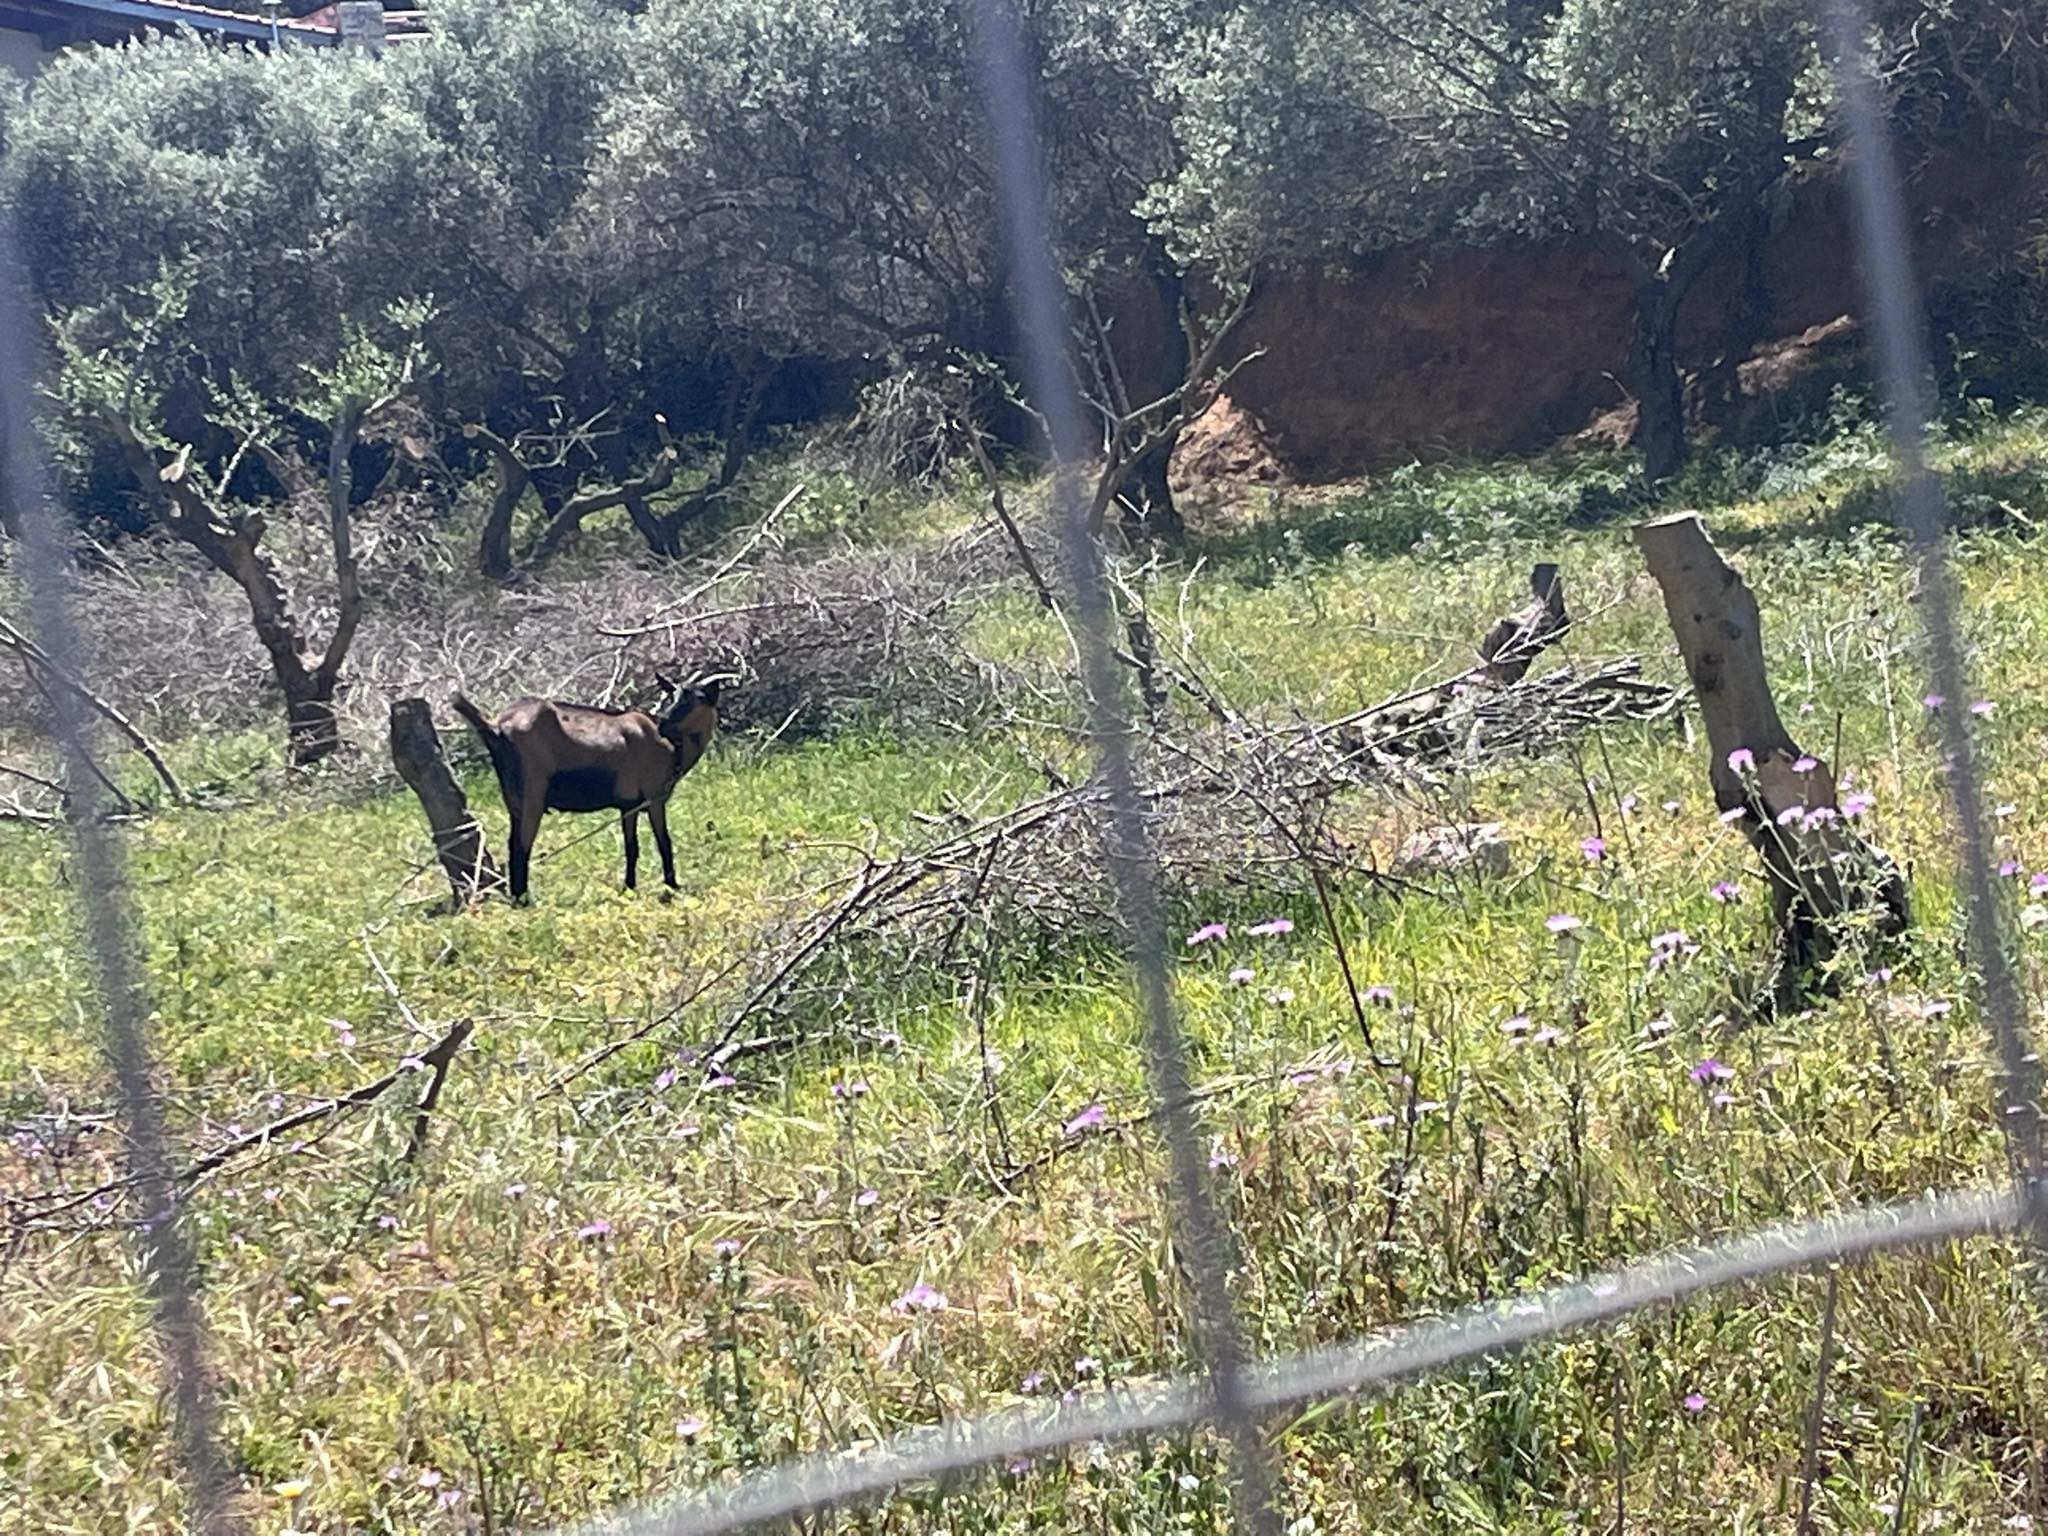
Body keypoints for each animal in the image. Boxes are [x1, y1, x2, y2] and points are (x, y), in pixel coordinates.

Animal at [452, 675, 724, 901]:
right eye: (673, 696)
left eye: (697, 698)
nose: (665, 724)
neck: (673, 750)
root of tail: (497, 728)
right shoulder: (653, 797)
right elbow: (664, 843)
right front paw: (672, 886)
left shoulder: (629, 804)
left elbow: (632, 847)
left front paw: (629, 888)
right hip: (533, 793)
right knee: (521, 846)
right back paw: (524, 899)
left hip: (513, 796)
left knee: (512, 844)